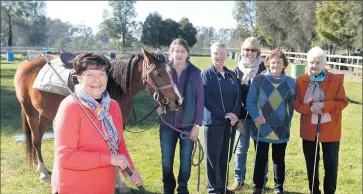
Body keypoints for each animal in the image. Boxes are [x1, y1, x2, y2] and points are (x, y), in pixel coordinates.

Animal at [12, 47, 183, 186]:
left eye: (173, 71)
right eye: (158, 74)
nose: (178, 101)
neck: (113, 85)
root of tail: (28, 62)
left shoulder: (119, 124)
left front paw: (119, 183)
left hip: (44, 114)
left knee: (38, 139)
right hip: (31, 112)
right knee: (36, 141)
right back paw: (42, 172)